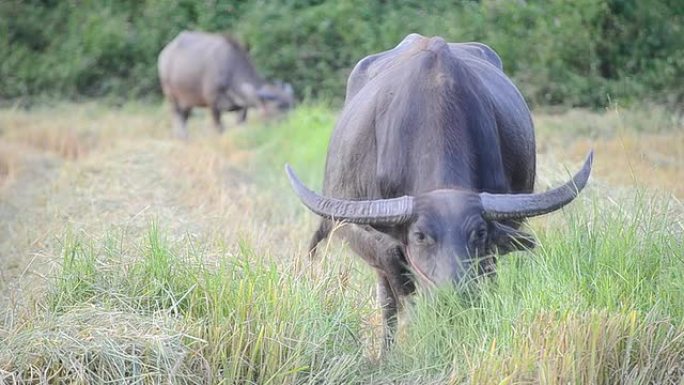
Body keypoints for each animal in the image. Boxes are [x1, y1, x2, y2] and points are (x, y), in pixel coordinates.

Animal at [158, 30, 294, 138]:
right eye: (279, 106)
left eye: (292, 104)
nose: (292, 125)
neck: (230, 69)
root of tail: (164, 55)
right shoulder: (213, 105)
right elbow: (219, 128)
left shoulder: (242, 107)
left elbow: (240, 122)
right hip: (171, 96)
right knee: (177, 116)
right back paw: (182, 136)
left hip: (187, 101)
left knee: (184, 117)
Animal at [286, 34, 592, 346]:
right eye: (420, 235)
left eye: (479, 233)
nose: (453, 295)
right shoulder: (383, 250)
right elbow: (402, 299)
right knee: (388, 303)